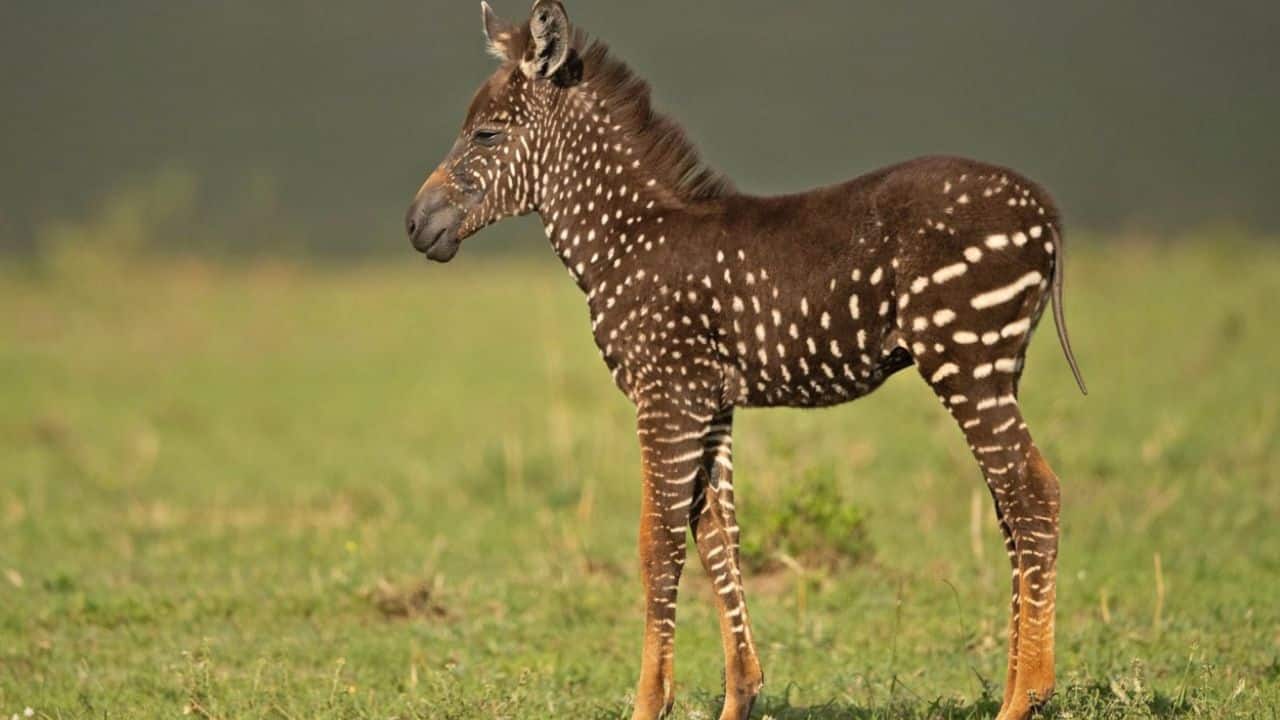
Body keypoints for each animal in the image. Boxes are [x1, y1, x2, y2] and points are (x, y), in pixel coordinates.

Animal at [404, 3, 1086, 719]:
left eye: (484, 135)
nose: (415, 225)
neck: (626, 238)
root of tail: (1044, 209)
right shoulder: (710, 402)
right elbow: (717, 540)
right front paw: (742, 695)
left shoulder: (667, 396)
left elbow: (658, 545)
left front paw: (649, 702)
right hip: (996, 368)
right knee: (1011, 506)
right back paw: (1017, 685)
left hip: (966, 359)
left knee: (1033, 494)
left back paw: (1026, 696)